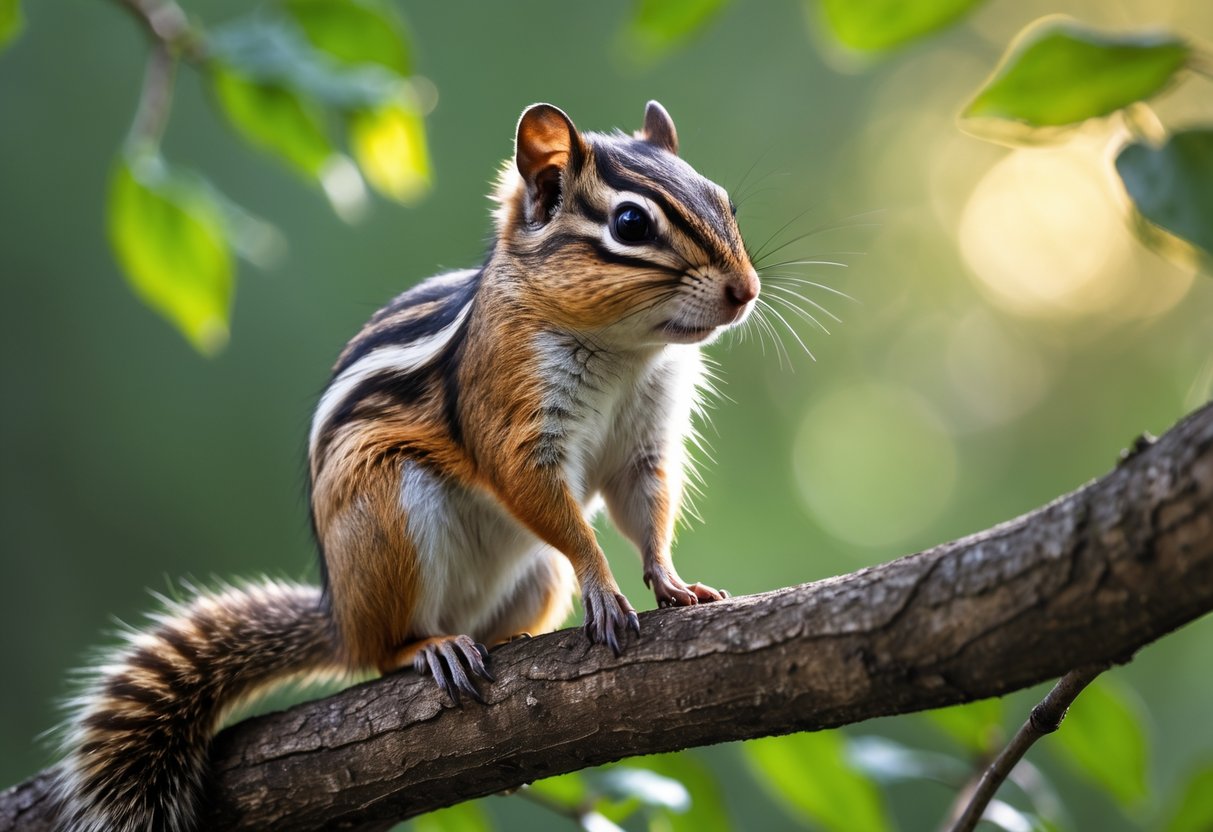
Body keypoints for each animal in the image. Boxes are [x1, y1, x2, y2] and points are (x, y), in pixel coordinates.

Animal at [52, 101, 760, 832]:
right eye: (630, 225)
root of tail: (341, 619)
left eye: (725, 202)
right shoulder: (510, 415)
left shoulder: (646, 438)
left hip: (535, 572)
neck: (626, 352)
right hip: (389, 512)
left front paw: (670, 580)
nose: (747, 290)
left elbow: (643, 503)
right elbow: (532, 489)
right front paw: (603, 585)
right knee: (382, 656)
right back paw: (430, 647)